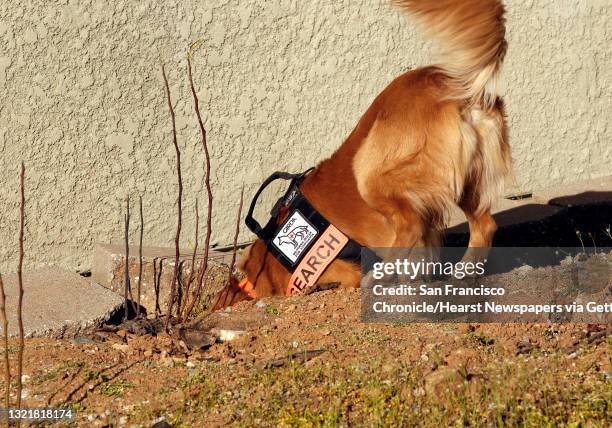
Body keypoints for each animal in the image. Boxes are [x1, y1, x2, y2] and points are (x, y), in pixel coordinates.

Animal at [213, 0, 510, 308]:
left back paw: (380, 276)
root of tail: (452, 83)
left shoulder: (338, 272)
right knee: (484, 226)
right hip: (468, 181)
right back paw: (462, 273)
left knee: (412, 225)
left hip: (370, 171)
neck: (270, 262)